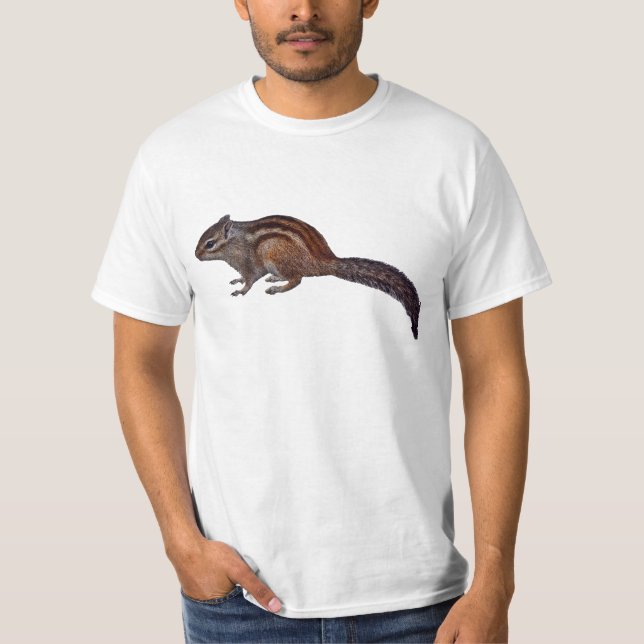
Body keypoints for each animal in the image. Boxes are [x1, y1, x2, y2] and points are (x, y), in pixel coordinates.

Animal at [195, 214, 421, 339]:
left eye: (210, 243)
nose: (196, 255)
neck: (235, 242)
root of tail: (322, 261)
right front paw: (238, 281)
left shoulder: (250, 264)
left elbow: (250, 280)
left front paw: (241, 290)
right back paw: (276, 279)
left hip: (275, 254)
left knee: (297, 279)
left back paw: (277, 287)